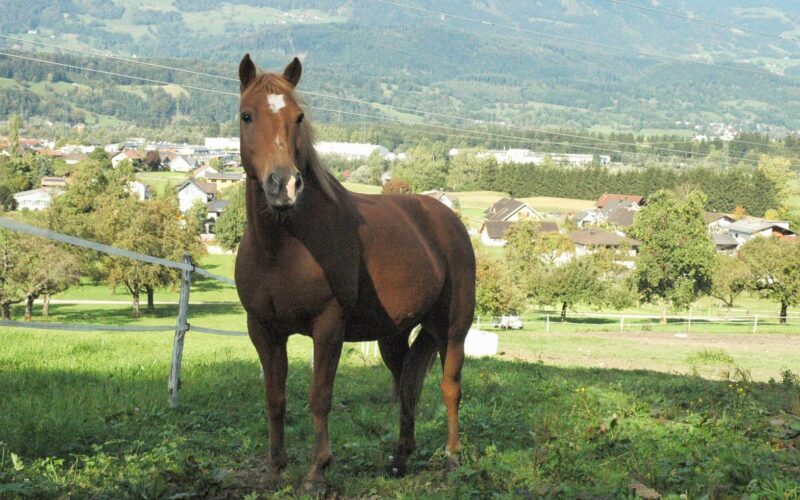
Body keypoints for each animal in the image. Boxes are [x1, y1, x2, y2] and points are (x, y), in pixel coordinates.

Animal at [234, 54, 476, 493]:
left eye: (298, 117)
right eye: (247, 115)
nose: (284, 185)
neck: (283, 247)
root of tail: (448, 219)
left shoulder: (328, 327)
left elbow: (319, 396)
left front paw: (317, 471)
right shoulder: (262, 328)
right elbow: (274, 397)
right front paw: (274, 467)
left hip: (452, 330)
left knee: (450, 388)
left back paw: (452, 459)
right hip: (393, 335)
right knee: (407, 386)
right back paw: (400, 458)